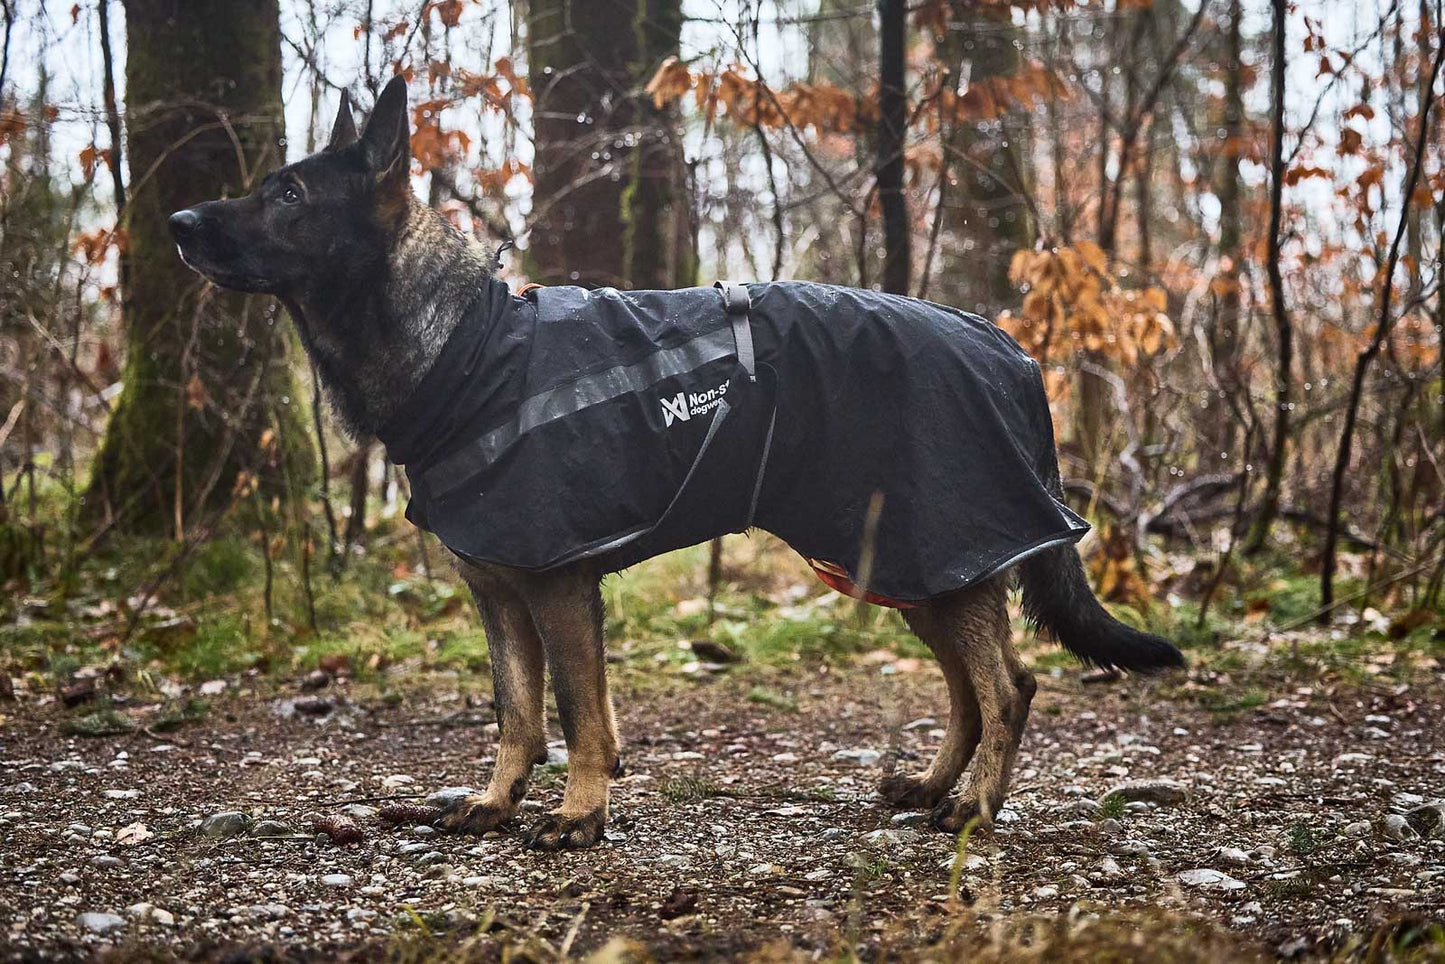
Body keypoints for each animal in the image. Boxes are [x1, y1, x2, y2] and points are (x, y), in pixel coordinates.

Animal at [171, 80, 1184, 849]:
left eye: (289, 196)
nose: (176, 218)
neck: (468, 348)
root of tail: (1007, 348)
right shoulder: (499, 595)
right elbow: (515, 714)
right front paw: (497, 803)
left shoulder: (559, 587)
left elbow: (575, 713)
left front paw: (579, 814)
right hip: (910, 567)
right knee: (969, 691)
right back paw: (933, 788)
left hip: (940, 553)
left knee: (1008, 688)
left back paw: (973, 807)